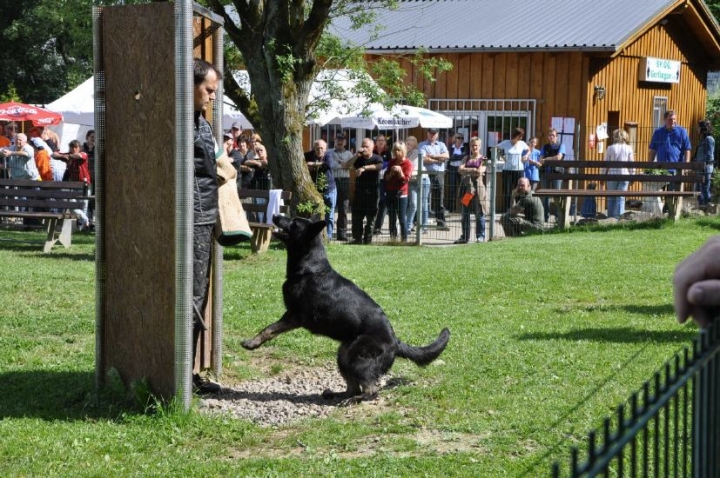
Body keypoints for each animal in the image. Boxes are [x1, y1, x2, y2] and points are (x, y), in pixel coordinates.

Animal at [243, 216, 450, 404]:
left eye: (294, 222)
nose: (275, 215)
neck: (310, 267)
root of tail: (395, 341)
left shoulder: (294, 316)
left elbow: (269, 329)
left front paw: (252, 343)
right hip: (344, 356)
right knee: (353, 387)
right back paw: (338, 395)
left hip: (358, 358)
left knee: (371, 391)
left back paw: (354, 400)